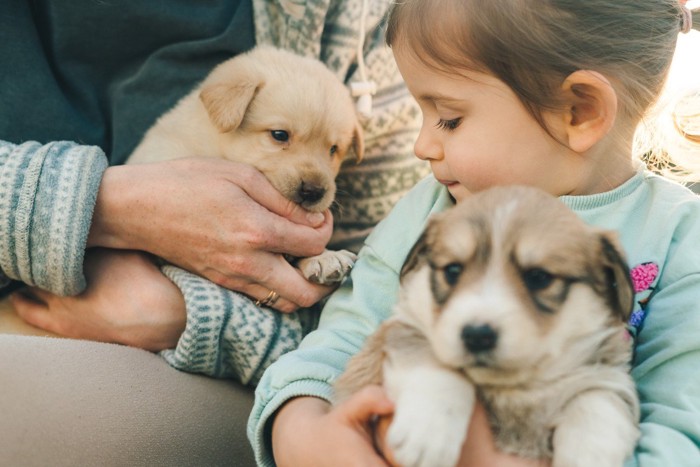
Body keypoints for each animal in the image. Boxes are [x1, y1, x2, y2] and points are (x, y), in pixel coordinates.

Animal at [334, 185, 640, 467]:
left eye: (539, 277)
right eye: (453, 271)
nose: (477, 336)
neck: (515, 388)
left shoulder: (606, 374)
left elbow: (597, 400)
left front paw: (589, 453)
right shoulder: (405, 330)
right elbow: (438, 367)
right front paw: (428, 433)